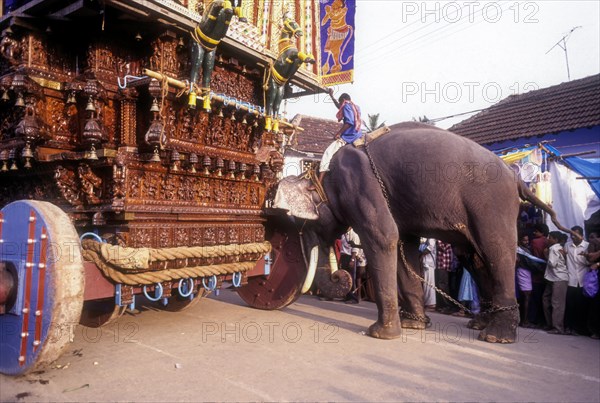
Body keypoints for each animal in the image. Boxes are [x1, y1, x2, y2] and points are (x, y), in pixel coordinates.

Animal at [274, 120, 568, 344]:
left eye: (303, 225)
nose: (339, 276)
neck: (322, 174)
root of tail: (515, 176)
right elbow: (403, 245)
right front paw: (412, 325)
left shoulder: (360, 184)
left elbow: (383, 237)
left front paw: (380, 334)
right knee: (473, 257)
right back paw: (479, 324)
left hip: (492, 204)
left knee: (497, 252)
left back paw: (496, 337)